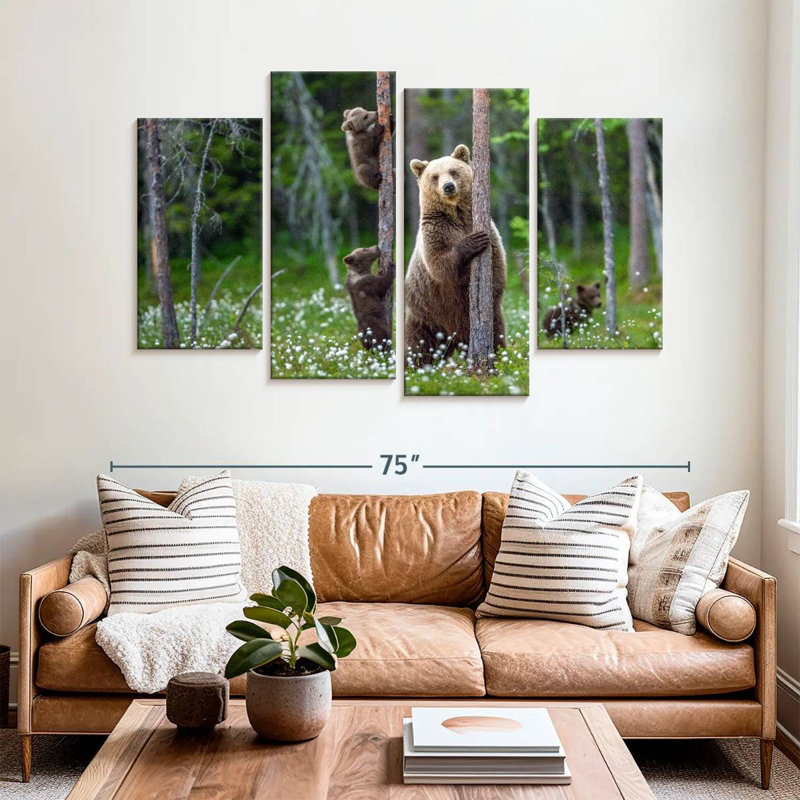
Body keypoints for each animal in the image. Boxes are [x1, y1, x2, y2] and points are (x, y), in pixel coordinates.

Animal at [404, 144, 507, 365]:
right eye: (434, 176)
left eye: (453, 171)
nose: (448, 186)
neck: (456, 215)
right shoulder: (436, 230)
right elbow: (440, 264)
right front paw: (473, 242)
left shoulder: (487, 229)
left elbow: (496, 267)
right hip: (426, 314)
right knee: (417, 344)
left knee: (497, 334)